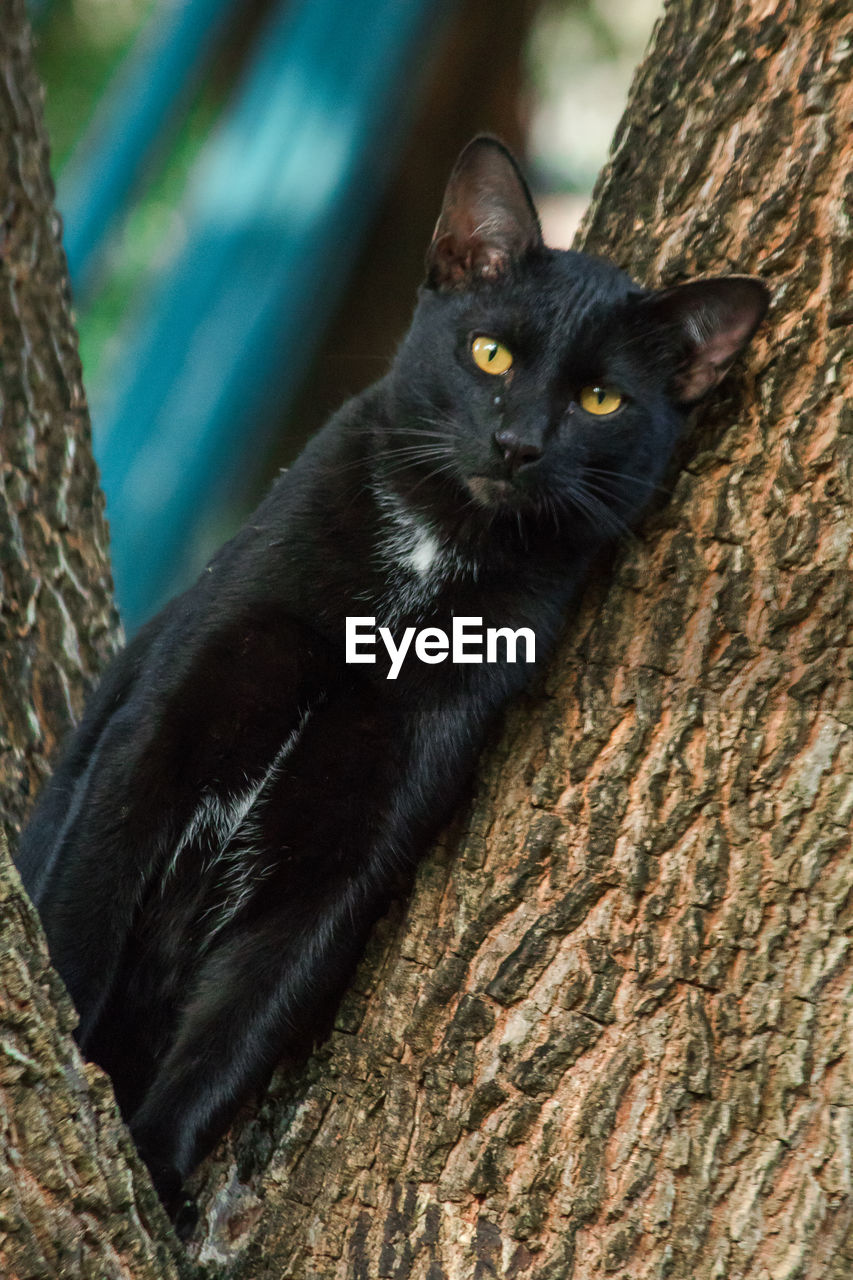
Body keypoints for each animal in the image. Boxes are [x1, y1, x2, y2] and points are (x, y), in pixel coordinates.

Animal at [16, 137, 768, 1208]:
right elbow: (84, 905)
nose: (516, 443)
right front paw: (76, 1088)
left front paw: (156, 1173)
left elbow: (243, 1024)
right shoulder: (158, 730)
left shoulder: (356, 845)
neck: (424, 563)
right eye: (490, 354)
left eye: (600, 399)